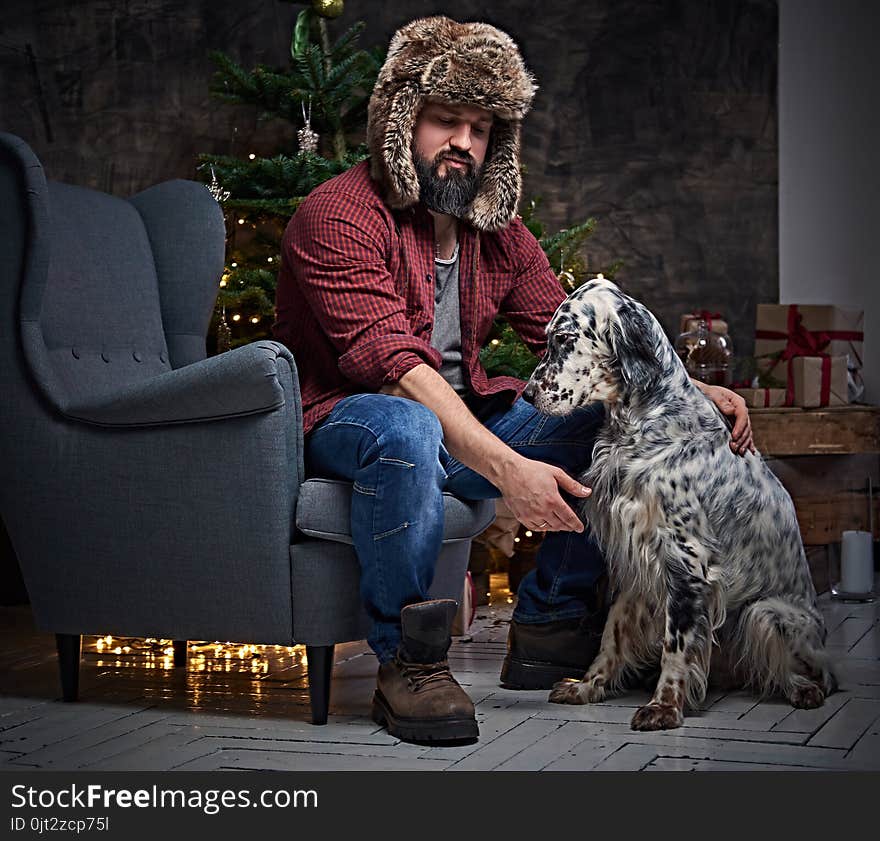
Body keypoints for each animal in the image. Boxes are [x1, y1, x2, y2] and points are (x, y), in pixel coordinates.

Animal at [524, 278, 836, 728]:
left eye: (565, 339)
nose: (527, 395)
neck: (644, 419)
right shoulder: (637, 558)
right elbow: (612, 632)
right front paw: (588, 686)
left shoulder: (687, 560)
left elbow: (676, 644)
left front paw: (664, 707)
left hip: (766, 613)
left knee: (818, 673)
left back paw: (805, 689)